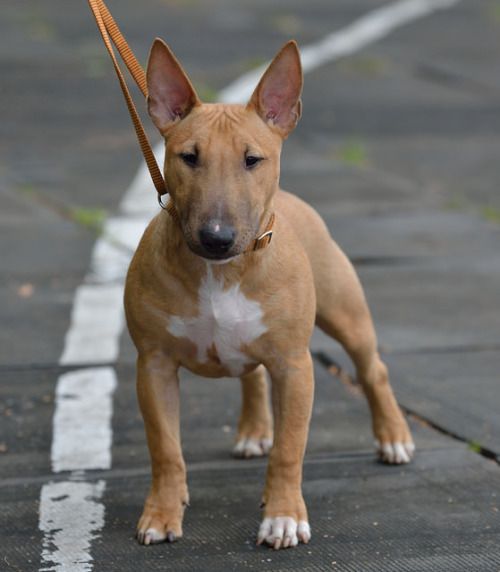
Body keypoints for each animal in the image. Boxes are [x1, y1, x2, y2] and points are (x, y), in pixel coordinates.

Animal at [125, 39, 414, 548]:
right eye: (189, 156)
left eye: (252, 159)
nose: (216, 237)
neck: (221, 271)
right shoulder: (153, 364)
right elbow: (165, 449)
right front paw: (161, 515)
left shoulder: (294, 365)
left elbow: (289, 448)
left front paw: (283, 518)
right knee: (252, 377)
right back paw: (254, 431)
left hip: (346, 313)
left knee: (372, 369)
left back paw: (393, 438)